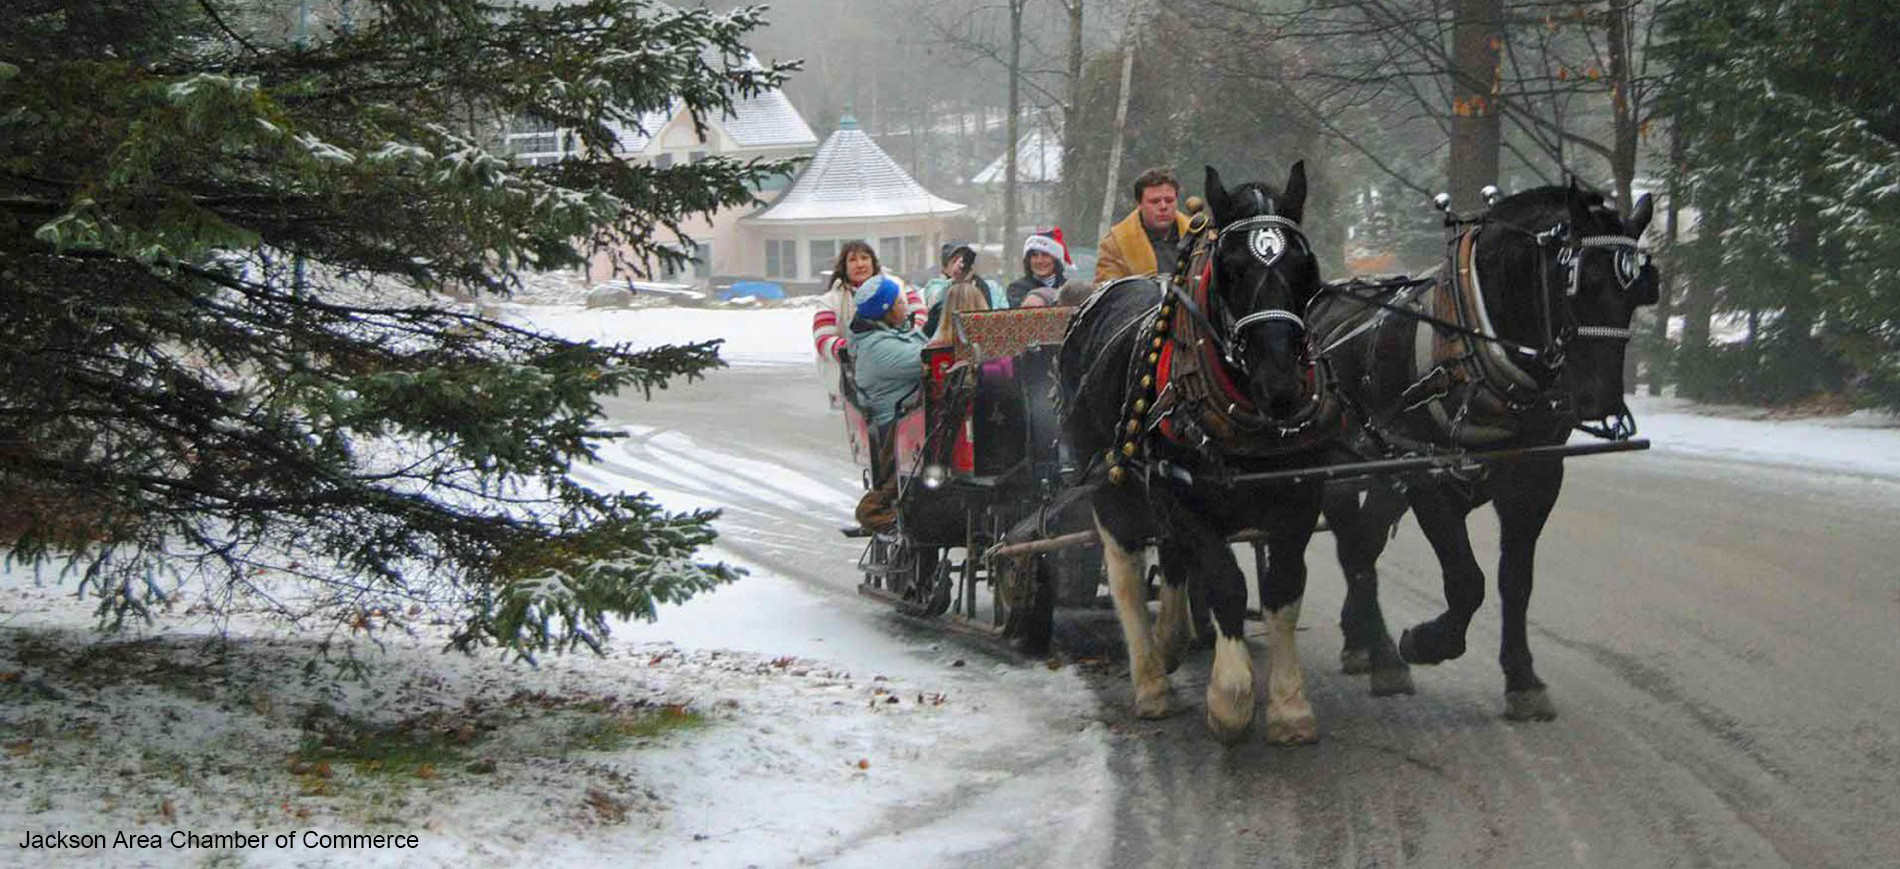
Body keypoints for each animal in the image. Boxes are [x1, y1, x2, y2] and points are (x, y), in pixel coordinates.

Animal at [1056, 166, 1337, 741]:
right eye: (1230, 269)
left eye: (1305, 267)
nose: (1281, 385)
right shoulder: (1183, 499)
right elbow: (1227, 584)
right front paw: (1230, 698)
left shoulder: (1300, 498)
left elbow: (1282, 590)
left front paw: (1289, 706)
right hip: (1111, 485)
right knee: (1126, 571)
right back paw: (1150, 682)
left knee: (1173, 561)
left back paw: (1171, 642)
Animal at [1314, 181, 1656, 718]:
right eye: (1579, 284)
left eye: (1640, 292)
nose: (1598, 401)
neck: (1471, 344)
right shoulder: (1428, 475)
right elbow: (1466, 581)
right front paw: (1427, 641)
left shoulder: (1535, 477)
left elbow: (1515, 581)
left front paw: (1522, 678)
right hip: (1341, 468)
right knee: (1355, 550)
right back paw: (1386, 654)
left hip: (1385, 473)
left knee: (1363, 546)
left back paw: (1362, 642)